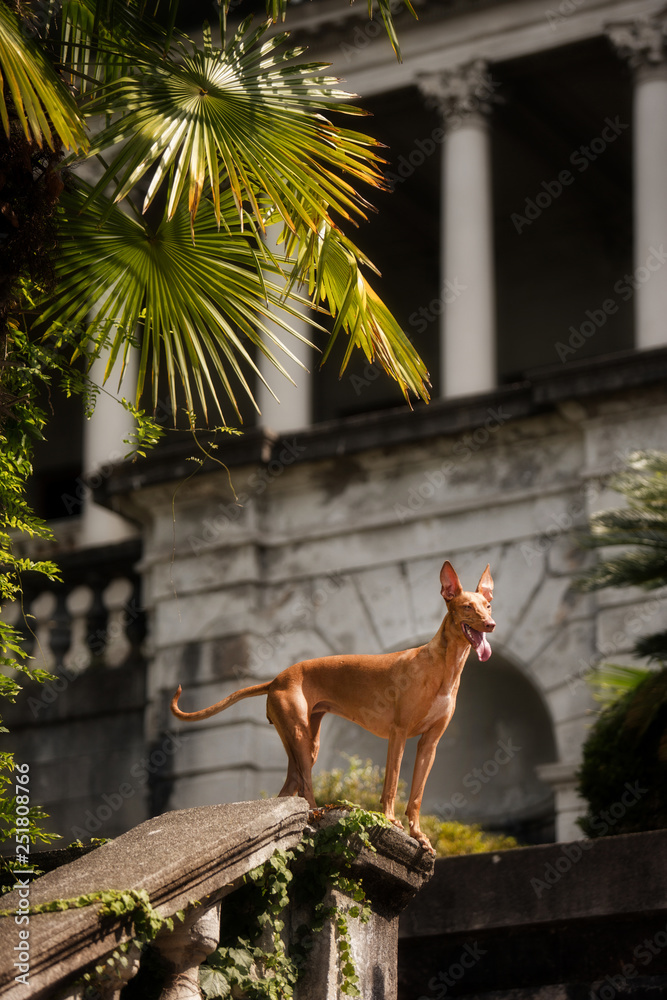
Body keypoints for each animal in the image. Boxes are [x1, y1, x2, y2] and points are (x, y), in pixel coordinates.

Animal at [172, 560, 496, 856]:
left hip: (307, 743)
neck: (443, 667)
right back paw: (316, 814)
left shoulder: (430, 743)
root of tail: (276, 678)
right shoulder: (399, 733)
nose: (491, 624)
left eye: (489, 606)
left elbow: (416, 796)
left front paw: (418, 834)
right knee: (306, 787)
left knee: (289, 788)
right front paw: (390, 821)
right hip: (300, 736)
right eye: (468, 607)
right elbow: (391, 784)